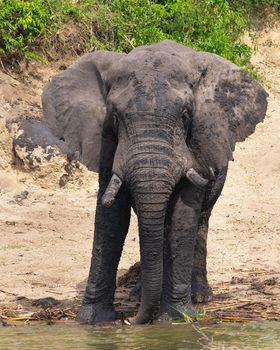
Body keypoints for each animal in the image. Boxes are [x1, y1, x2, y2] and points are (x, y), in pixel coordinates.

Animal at [42, 39, 270, 324]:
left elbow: (183, 215)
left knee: (201, 219)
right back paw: (142, 294)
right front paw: (92, 321)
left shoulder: (197, 143)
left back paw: (199, 297)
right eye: (115, 117)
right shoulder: (105, 141)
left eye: (186, 116)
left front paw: (176, 318)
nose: (131, 320)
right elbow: (111, 219)